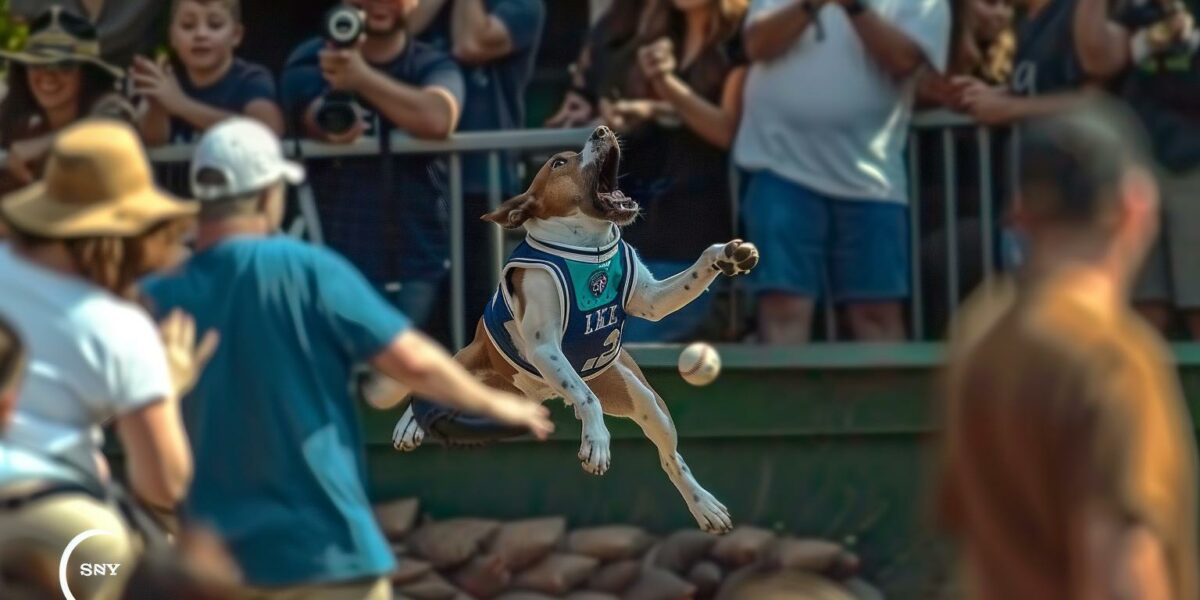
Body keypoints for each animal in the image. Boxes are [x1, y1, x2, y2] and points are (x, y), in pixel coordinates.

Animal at [374, 124, 753, 532]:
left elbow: (695, 271)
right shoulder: (545, 347)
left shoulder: (651, 301)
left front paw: (728, 255)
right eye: (558, 162)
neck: (589, 246)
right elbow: (586, 398)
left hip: (642, 399)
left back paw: (704, 505)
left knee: (672, 459)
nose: (602, 129)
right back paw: (409, 426)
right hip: (468, 364)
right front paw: (597, 442)